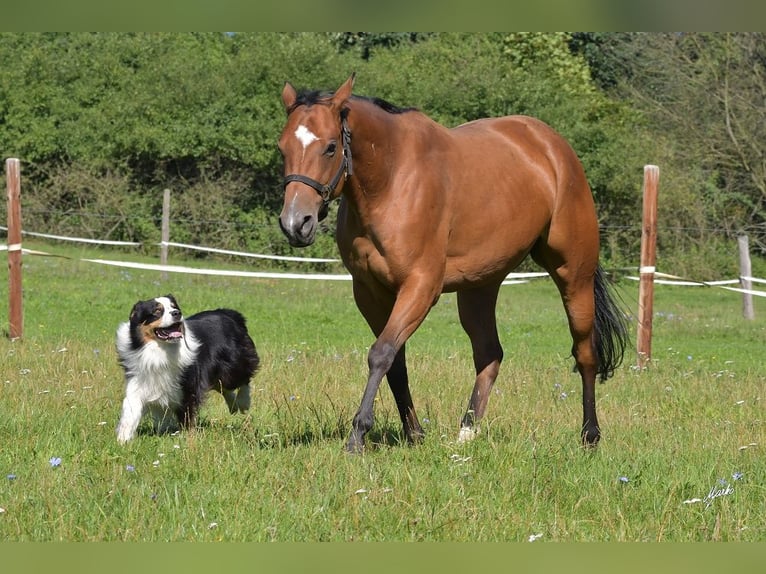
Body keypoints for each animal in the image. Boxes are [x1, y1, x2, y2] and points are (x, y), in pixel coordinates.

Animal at [113, 296, 258, 446]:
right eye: (157, 311)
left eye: (174, 307)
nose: (177, 313)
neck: (160, 351)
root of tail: (227, 312)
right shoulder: (139, 379)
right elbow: (131, 409)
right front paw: (123, 440)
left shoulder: (188, 386)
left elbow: (187, 415)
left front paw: (188, 440)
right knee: (222, 386)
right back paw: (233, 406)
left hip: (231, 365)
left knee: (242, 378)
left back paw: (243, 402)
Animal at [280, 75, 628, 454]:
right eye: (282, 148)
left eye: (330, 147)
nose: (296, 223)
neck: (391, 180)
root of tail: (554, 147)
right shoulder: (369, 292)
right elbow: (395, 361)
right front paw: (414, 434)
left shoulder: (420, 287)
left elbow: (381, 353)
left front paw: (358, 435)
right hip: (480, 286)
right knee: (489, 353)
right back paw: (467, 431)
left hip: (573, 275)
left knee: (585, 353)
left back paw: (590, 435)